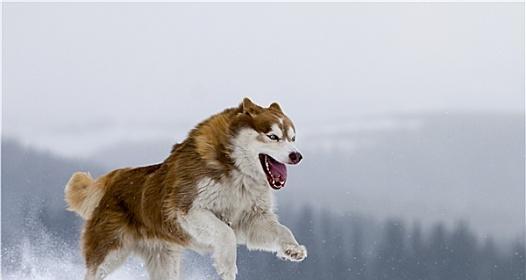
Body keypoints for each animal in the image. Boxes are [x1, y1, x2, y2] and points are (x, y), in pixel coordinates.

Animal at [64, 98, 308, 280]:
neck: (236, 171)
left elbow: (282, 230)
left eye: (293, 138)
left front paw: (292, 249)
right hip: (108, 252)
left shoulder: (251, 219)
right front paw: (226, 266)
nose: (297, 155)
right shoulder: (187, 210)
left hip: (164, 260)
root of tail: (114, 177)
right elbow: (225, 233)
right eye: (273, 136)